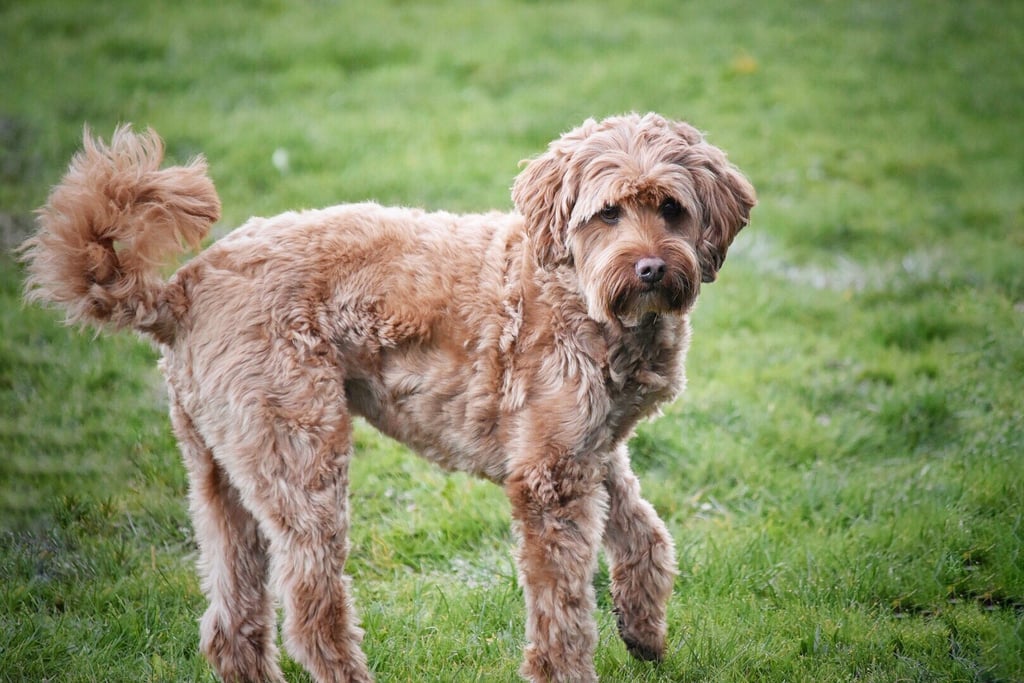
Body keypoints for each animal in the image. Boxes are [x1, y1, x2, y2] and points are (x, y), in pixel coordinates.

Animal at [22, 114, 753, 679]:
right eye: (607, 213)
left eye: (671, 209)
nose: (652, 268)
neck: (575, 290)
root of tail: (181, 290)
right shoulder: (547, 476)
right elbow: (564, 611)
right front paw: (570, 667)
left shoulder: (589, 451)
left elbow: (645, 533)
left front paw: (645, 629)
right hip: (302, 458)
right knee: (311, 612)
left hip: (220, 473)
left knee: (232, 622)